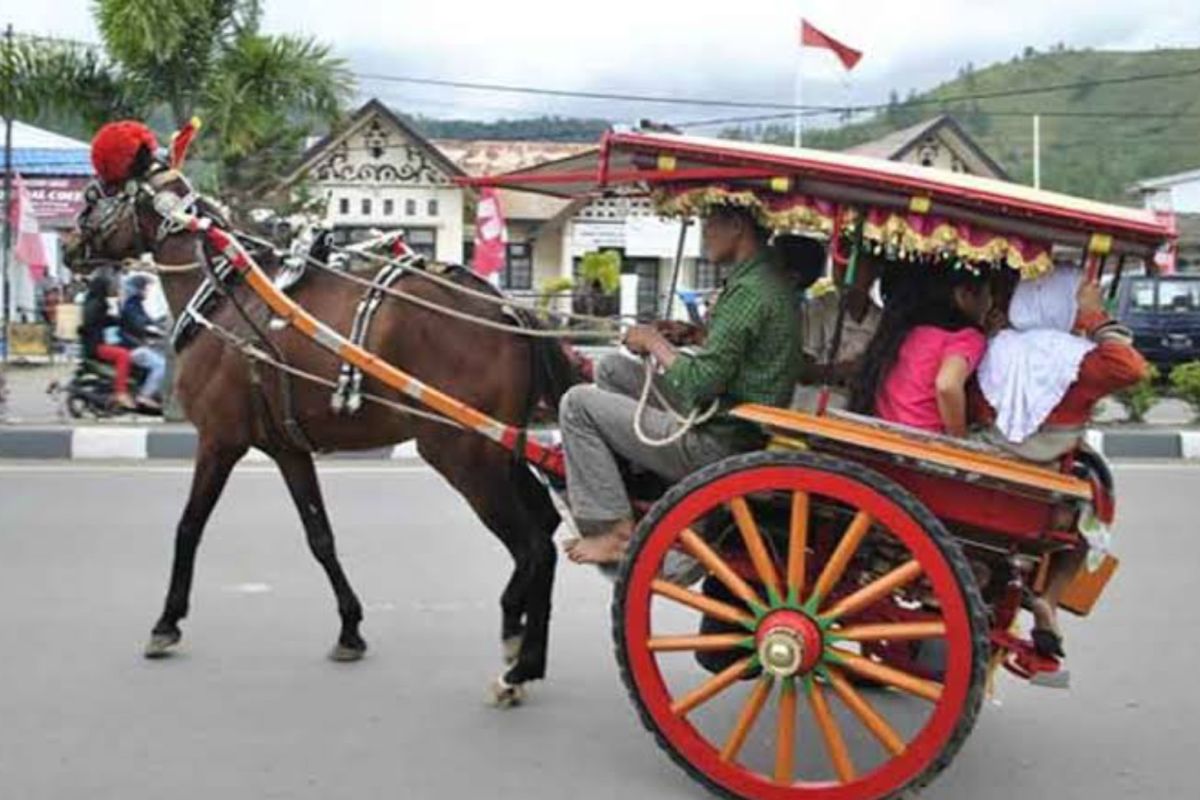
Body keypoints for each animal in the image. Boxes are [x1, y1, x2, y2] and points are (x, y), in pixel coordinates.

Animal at [75, 165, 580, 705]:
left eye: (99, 193)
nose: (70, 245)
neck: (223, 296)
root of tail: (507, 312)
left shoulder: (218, 440)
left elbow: (189, 526)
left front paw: (166, 623)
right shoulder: (287, 448)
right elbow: (320, 536)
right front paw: (350, 629)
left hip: (463, 453)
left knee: (534, 546)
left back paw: (518, 662)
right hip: (500, 450)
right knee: (546, 526)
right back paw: (521, 641)